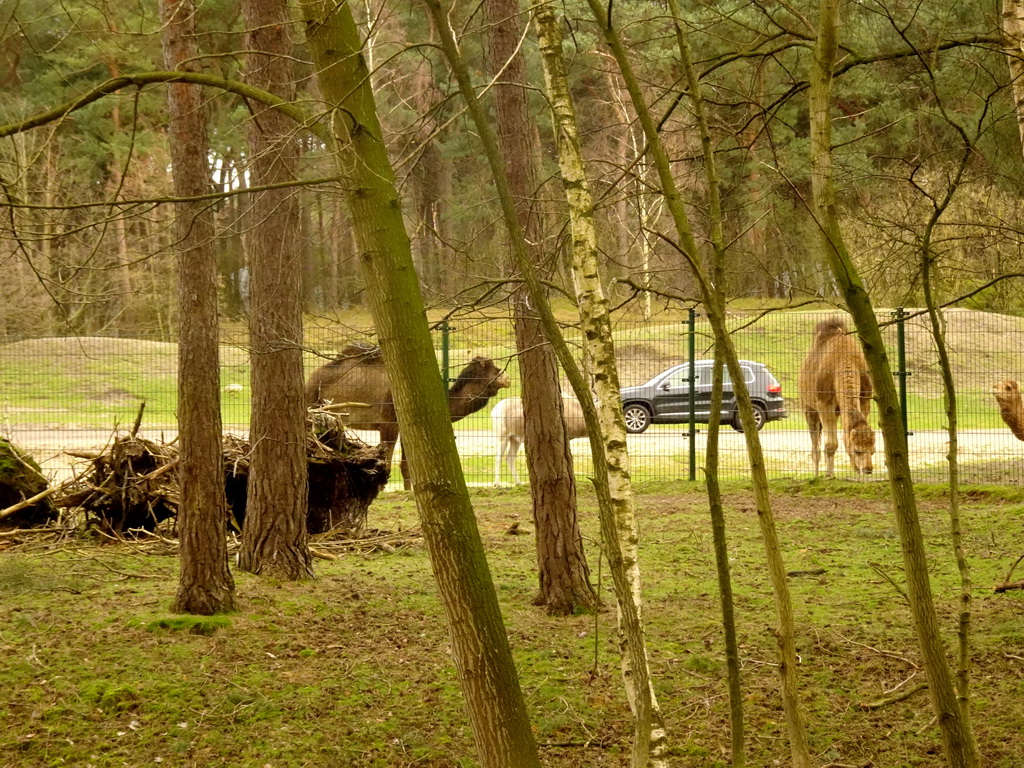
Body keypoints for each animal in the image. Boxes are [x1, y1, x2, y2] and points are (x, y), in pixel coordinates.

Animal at [303, 342, 512, 487]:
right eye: (495, 370)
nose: (508, 379)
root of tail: (309, 380)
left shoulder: (407, 427)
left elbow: (406, 467)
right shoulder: (389, 423)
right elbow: (386, 462)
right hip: (313, 404)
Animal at [794, 317, 876, 475]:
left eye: (873, 451)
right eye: (857, 451)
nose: (868, 469)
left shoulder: (865, 399)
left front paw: (855, 471)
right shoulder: (824, 402)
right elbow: (831, 445)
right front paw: (830, 476)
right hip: (808, 407)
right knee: (815, 447)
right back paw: (817, 474)